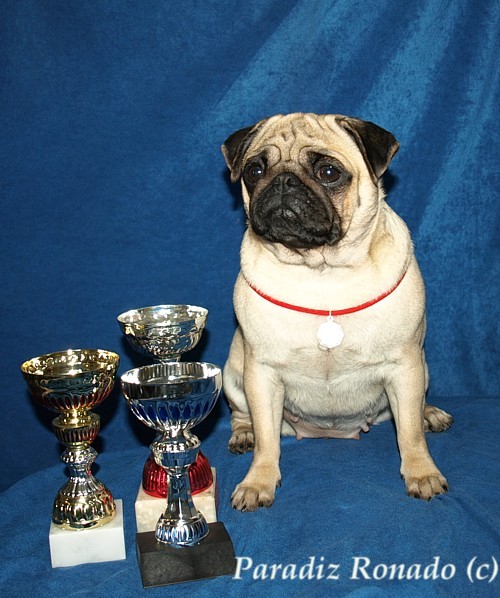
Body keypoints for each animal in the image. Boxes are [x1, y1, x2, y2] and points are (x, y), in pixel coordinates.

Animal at [222, 113, 453, 512]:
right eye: (254, 170)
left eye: (328, 172)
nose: (282, 180)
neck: (321, 270)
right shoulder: (261, 374)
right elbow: (268, 439)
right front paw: (258, 481)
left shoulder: (404, 367)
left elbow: (409, 432)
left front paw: (421, 472)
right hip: (233, 375)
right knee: (243, 415)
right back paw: (243, 433)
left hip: (421, 369)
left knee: (414, 410)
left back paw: (430, 414)